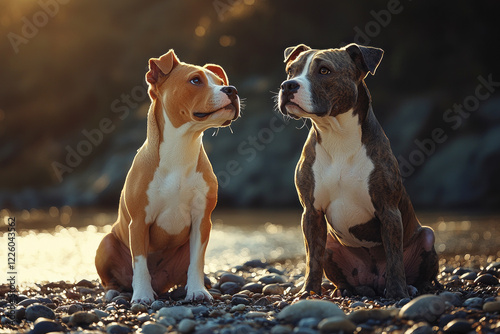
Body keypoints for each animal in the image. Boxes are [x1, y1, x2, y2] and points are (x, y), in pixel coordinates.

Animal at [97, 51, 240, 304]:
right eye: (195, 80)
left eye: (221, 82)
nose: (231, 89)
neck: (181, 148)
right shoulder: (139, 222)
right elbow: (140, 263)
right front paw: (142, 296)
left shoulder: (202, 220)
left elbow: (197, 261)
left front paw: (197, 291)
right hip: (106, 244)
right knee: (112, 280)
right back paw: (116, 292)